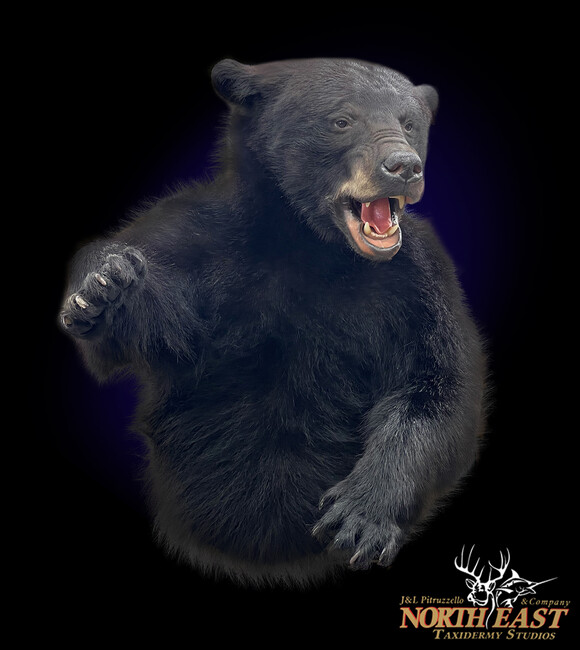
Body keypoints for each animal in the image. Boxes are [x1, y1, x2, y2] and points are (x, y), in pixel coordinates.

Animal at [59, 58, 486, 586]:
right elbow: (145, 318)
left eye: (410, 123)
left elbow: (438, 383)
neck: (309, 245)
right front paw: (104, 285)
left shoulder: (419, 281)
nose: (403, 166)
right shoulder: (197, 243)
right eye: (341, 120)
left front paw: (358, 517)